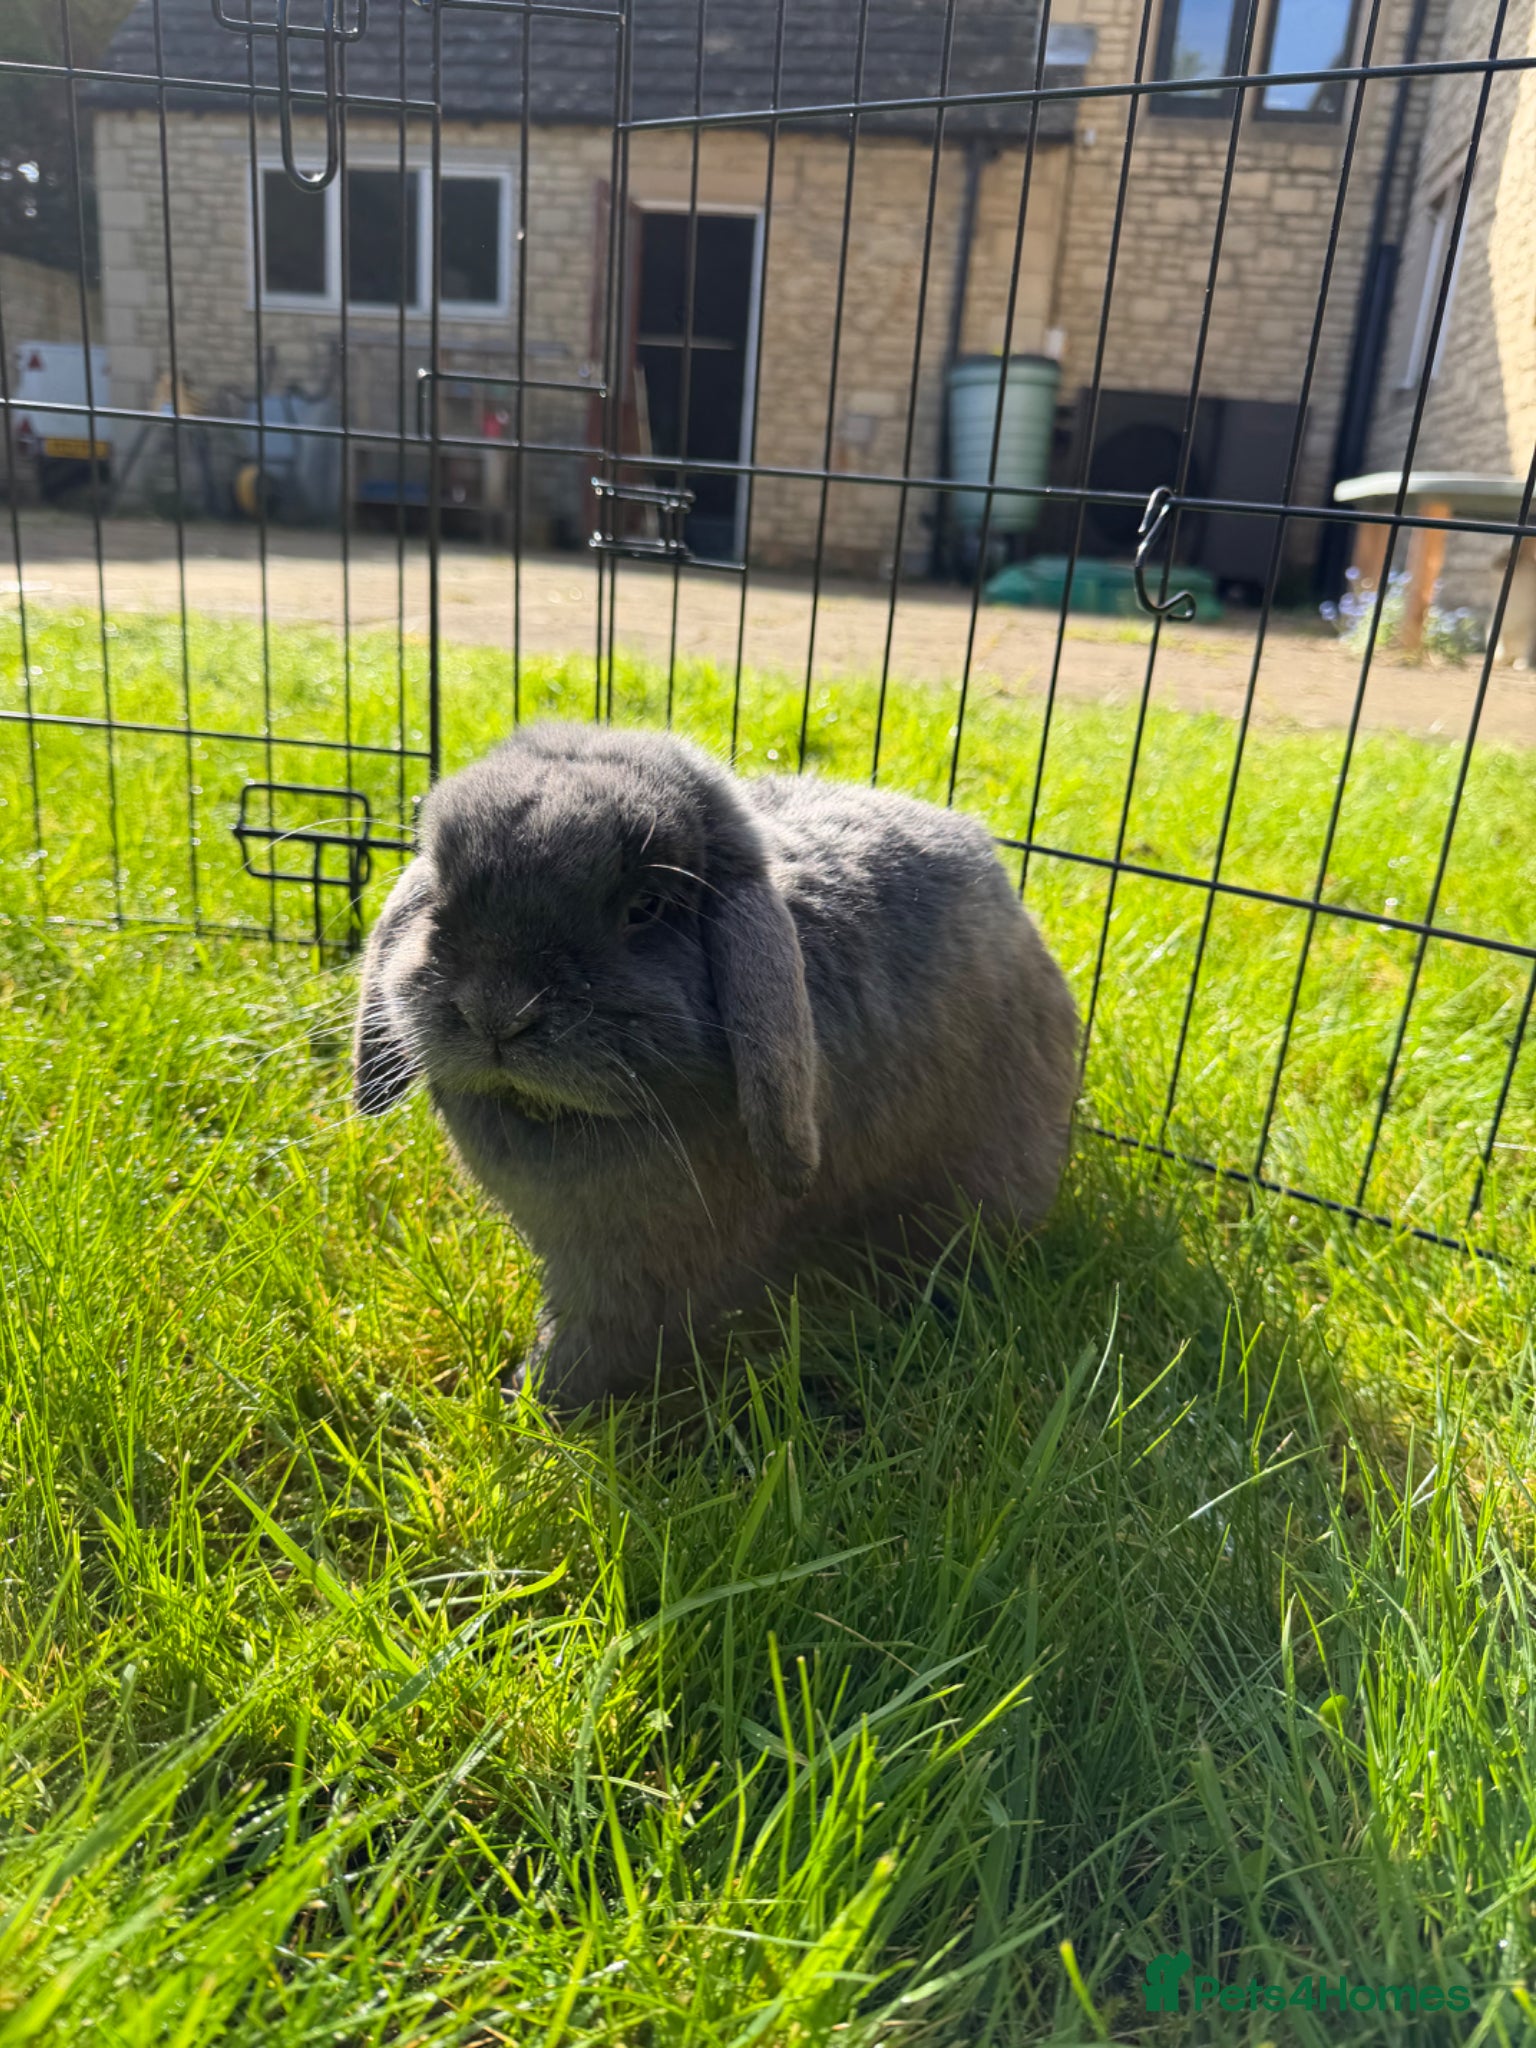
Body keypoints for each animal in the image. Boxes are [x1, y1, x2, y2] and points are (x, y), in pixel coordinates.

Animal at [353, 721, 1080, 1410]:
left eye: (645, 908)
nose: (496, 1012)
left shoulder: (631, 1281)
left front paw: (529, 1408)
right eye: (441, 892)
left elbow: (591, 1350)